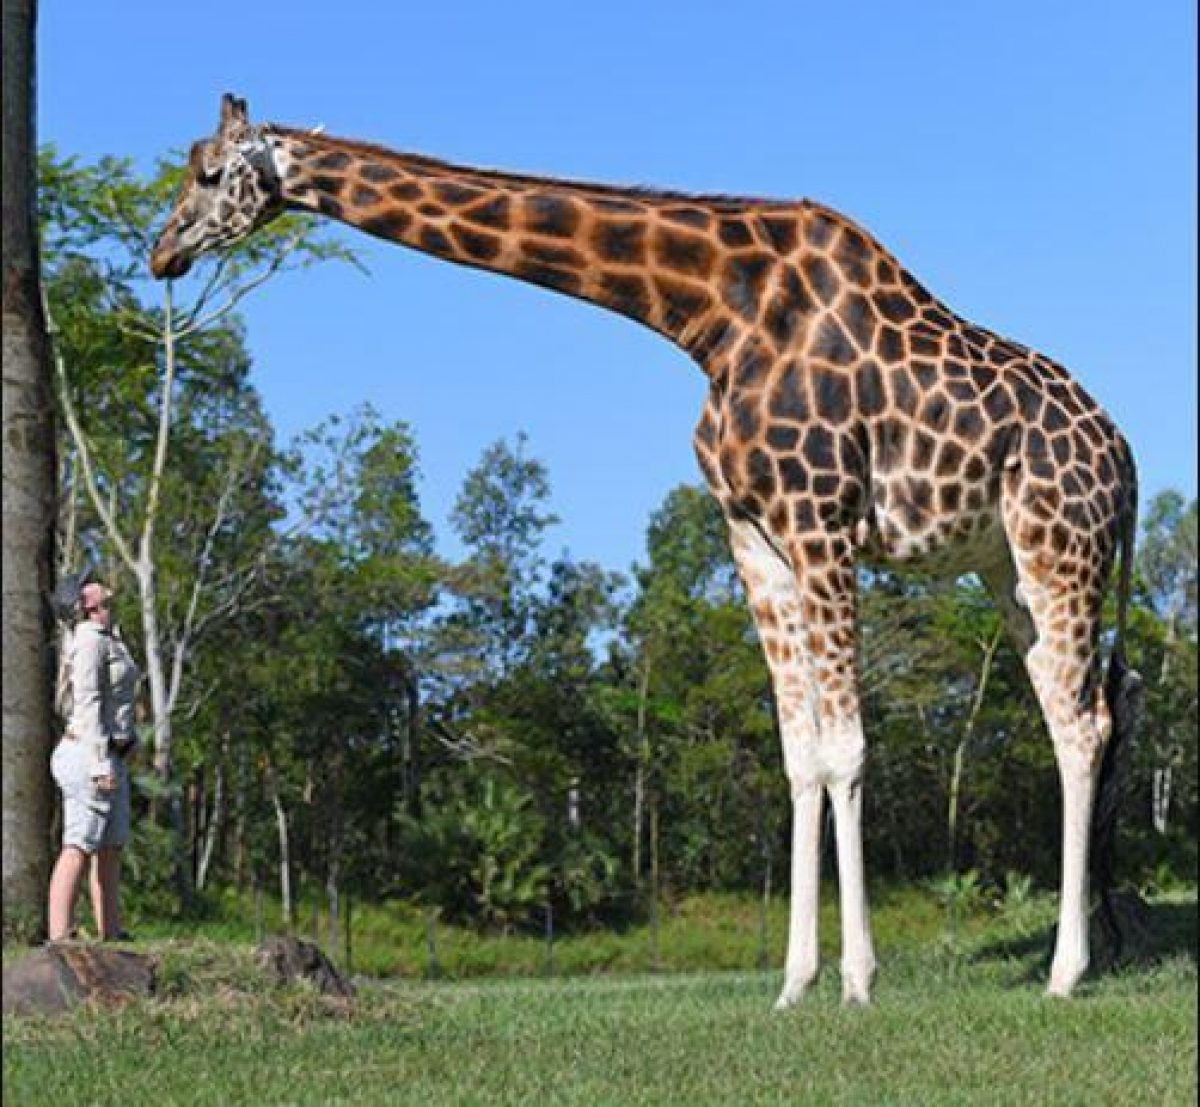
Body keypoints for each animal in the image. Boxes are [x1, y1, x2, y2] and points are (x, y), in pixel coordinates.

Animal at [150, 99, 1132, 1003]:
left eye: (207, 173)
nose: (162, 252)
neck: (711, 313)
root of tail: (1124, 455)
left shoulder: (820, 518)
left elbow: (849, 747)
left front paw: (858, 980)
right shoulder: (753, 533)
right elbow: (802, 754)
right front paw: (793, 983)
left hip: (1060, 544)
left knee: (1084, 723)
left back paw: (1066, 971)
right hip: (1006, 568)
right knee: (1070, 715)